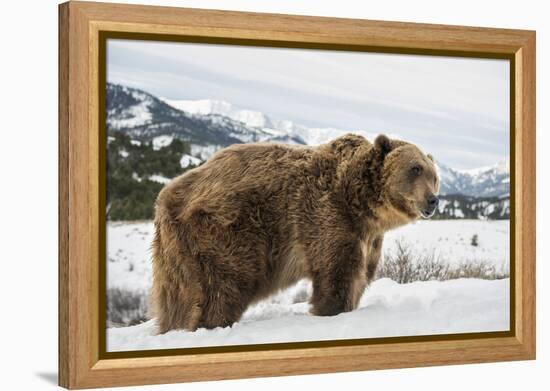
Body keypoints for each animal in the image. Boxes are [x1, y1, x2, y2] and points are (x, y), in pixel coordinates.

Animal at [150, 135, 440, 334]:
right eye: (415, 168)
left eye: (434, 175)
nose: (433, 200)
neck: (361, 204)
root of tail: (165, 197)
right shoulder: (327, 218)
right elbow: (336, 274)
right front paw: (330, 310)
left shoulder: (368, 238)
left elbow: (360, 276)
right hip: (225, 233)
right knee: (223, 288)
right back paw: (213, 323)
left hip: (175, 252)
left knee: (177, 298)